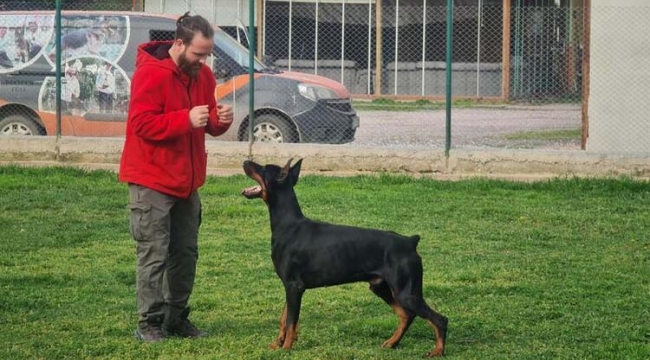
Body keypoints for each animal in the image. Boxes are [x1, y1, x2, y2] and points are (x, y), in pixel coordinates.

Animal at [240, 159, 448, 356]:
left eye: (263, 168)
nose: (245, 161)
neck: (288, 225)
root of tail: (410, 242)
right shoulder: (289, 287)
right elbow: (284, 319)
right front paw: (277, 344)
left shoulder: (294, 286)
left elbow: (291, 321)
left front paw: (286, 348)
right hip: (381, 287)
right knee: (407, 315)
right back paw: (391, 343)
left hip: (406, 292)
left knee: (439, 319)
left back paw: (437, 351)